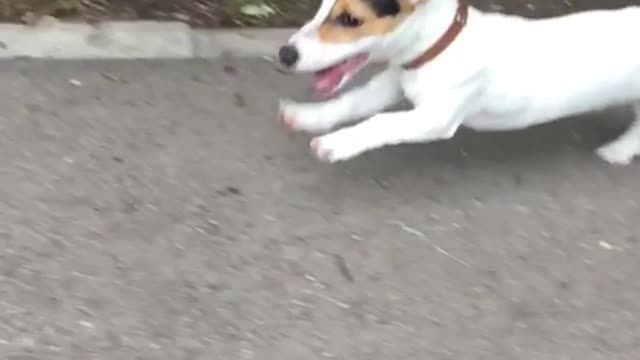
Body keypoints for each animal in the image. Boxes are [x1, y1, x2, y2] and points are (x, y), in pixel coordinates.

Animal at [278, 0, 640, 165]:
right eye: (320, 6)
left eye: (351, 19)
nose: (284, 54)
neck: (440, 45)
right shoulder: (391, 84)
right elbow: (351, 103)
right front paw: (305, 117)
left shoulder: (436, 118)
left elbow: (381, 122)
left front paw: (335, 144)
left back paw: (618, 151)